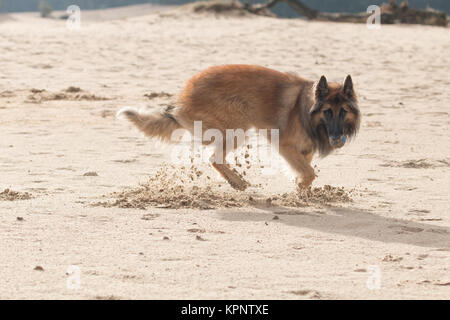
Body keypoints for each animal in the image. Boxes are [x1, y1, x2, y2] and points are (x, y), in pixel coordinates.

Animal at [118, 64, 360, 190]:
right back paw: (237, 181)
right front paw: (301, 186)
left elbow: (306, 171)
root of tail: (183, 97)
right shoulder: (285, 146)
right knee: (214, 158)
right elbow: (309, 172)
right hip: (238, 127)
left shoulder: (304, 150)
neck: (306, 109)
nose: (337, 139)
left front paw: (301, 188)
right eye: (327, 112)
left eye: (343, 111)